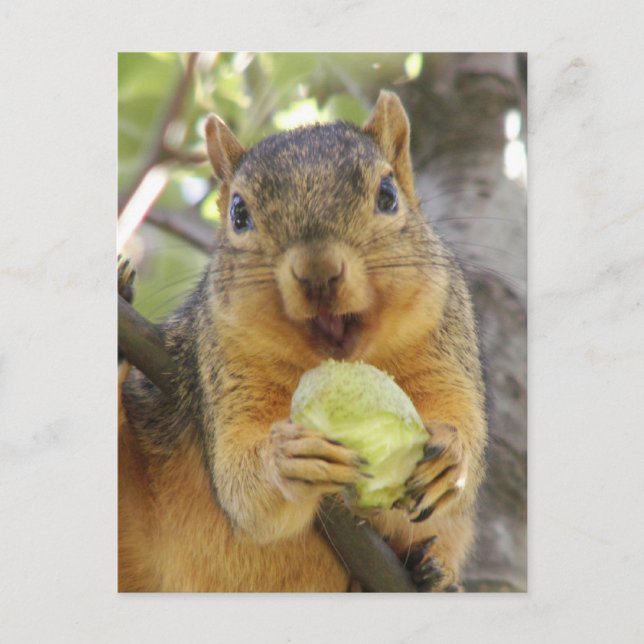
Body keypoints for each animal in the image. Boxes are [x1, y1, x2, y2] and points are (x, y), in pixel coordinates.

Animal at [118, 90, 487, 592]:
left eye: (388, 195)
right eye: (238, 214)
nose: (317, 272)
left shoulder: (443, 339)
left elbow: (462, 419)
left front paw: (451, 456)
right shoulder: (220, 365)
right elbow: (241, 487)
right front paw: (287, 458)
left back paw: (427, 572)